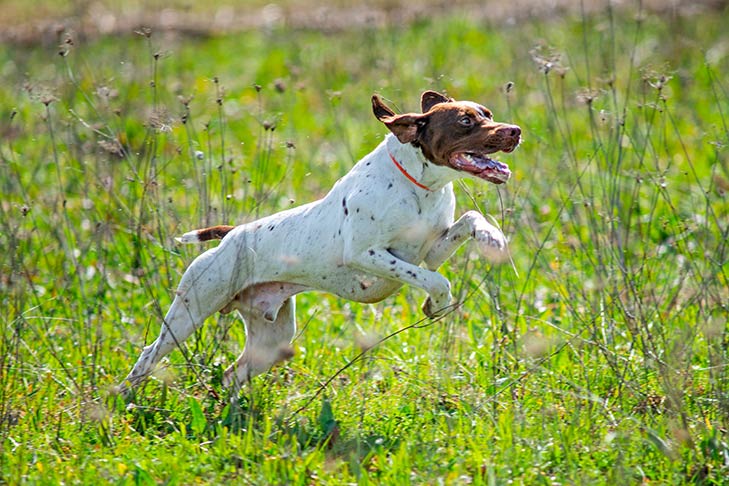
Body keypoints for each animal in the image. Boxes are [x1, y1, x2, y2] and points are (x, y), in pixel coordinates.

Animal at [118, 91, 516, 392]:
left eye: (488, 113)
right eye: (465, 121)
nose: (515, 130)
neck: (419, 187)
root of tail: (230, 235)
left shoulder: (429, 251)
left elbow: (468, 223)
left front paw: (493, 238)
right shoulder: (367, 255)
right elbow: (436, 280)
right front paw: (437, 304)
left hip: (273, 338)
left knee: (232, 376)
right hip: (190, 311)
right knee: (149, 354)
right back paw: (123, 402)